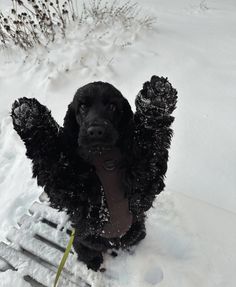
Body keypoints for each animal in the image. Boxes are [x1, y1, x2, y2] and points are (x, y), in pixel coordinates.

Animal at [11, 75, 177, 272]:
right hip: (83, 240)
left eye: (112, 106)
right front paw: (27, 113)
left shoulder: (143, 184)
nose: (95, 131)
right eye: (82, 106)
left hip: (137, 231)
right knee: (88, 252)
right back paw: (94, 262)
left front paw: (157, 95)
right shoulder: (70, 187)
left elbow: (149, 144)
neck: (103, 157)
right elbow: (53, 155)